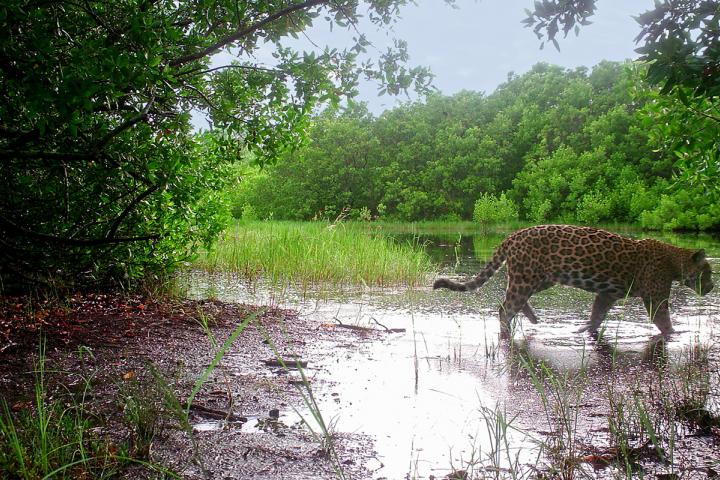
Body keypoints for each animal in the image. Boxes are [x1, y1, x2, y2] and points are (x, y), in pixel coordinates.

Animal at [433, 225, 714, 336]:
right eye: (708, 272)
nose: (711, 287)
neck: (674, 260)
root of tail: (512, 235)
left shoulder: (607, 294)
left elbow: (597, 314)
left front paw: (584, 329)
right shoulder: (655, 297)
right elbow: (663, 320)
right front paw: (676, 333)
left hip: (539, 278)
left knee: (513, 301)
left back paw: (533, 319)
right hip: (527, 278)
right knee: (505, 308)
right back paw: (507, 332)